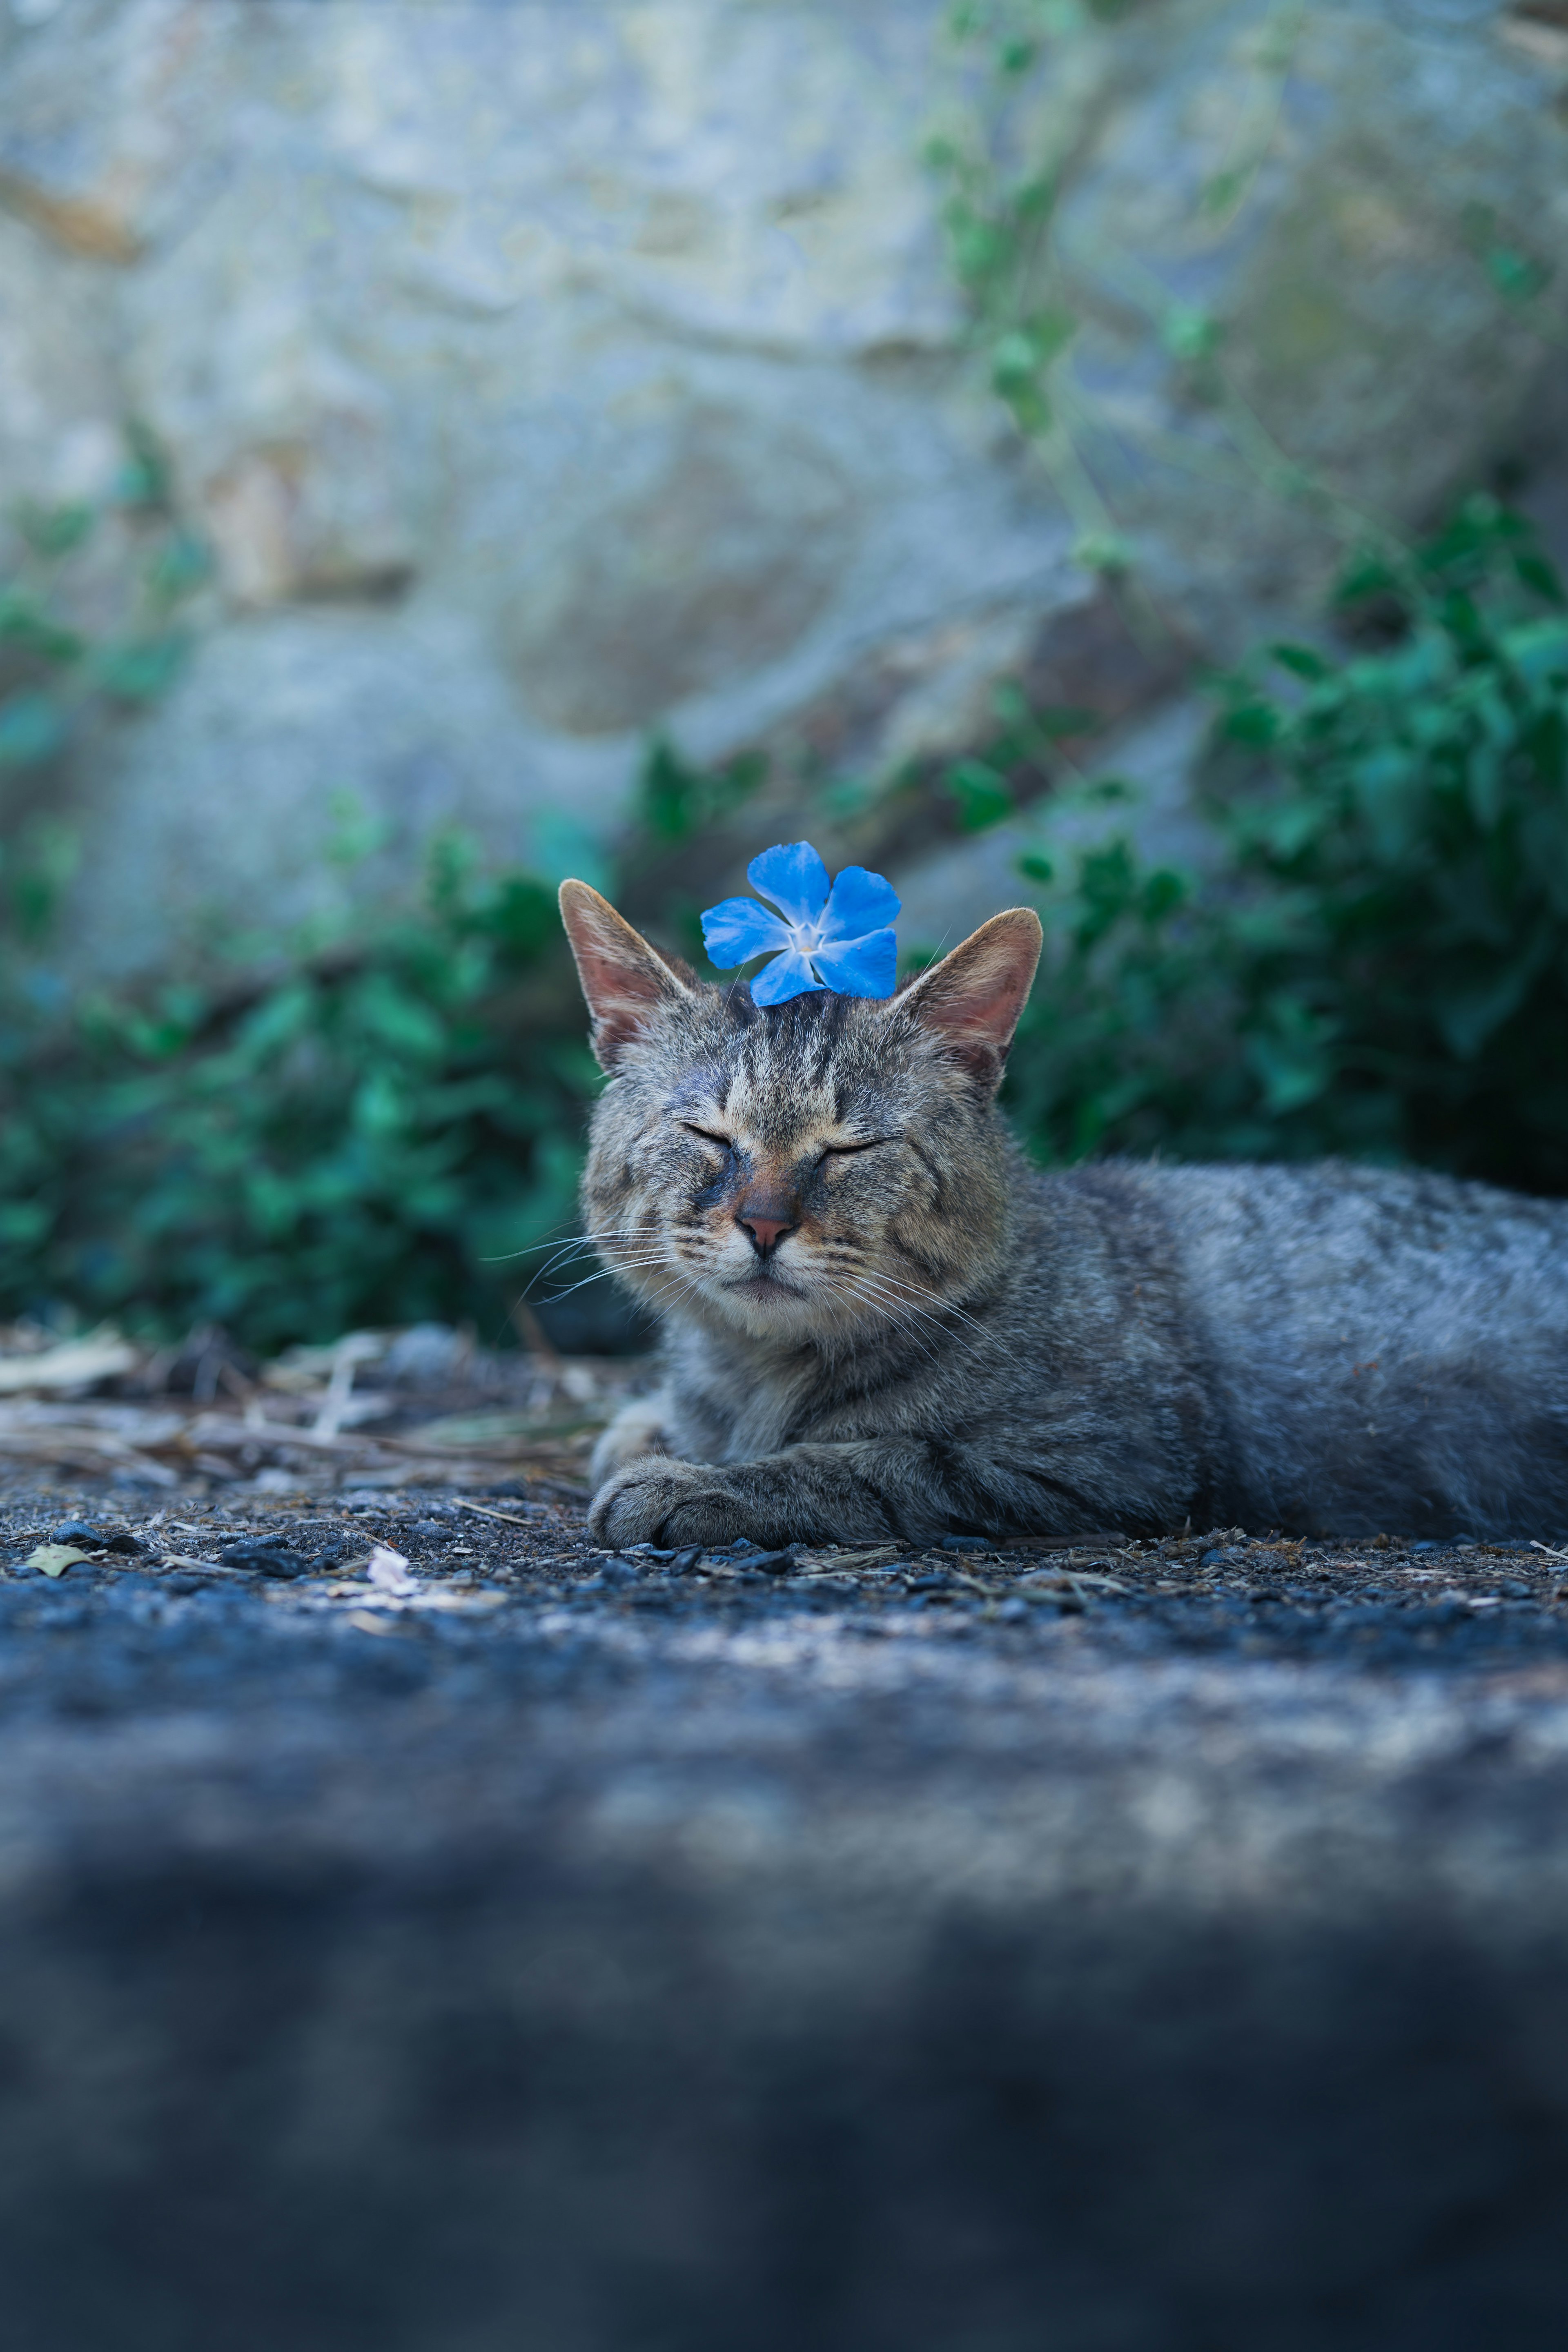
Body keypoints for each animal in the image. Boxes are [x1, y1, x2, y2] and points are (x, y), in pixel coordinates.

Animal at [557, 875, 1568, 1552]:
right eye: (707, 1133)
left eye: (850, 1150)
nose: (764, 1225)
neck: (754, 1372)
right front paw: (656, 1433)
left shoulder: (1105, 1463)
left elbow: (869, 1463)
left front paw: (698, 1483)